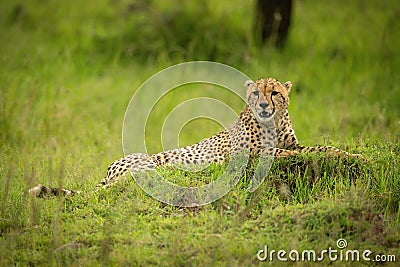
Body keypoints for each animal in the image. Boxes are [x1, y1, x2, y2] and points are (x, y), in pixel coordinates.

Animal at [28, 78, 360, 198]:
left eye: (274, 92)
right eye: (256, 93)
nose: (264, 104)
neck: (274, 121)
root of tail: (108, 171)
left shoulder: (294, 143)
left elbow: (320, 147)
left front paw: (351, 154)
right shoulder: (247, 155)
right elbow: (287, 154)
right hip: (146, 163)